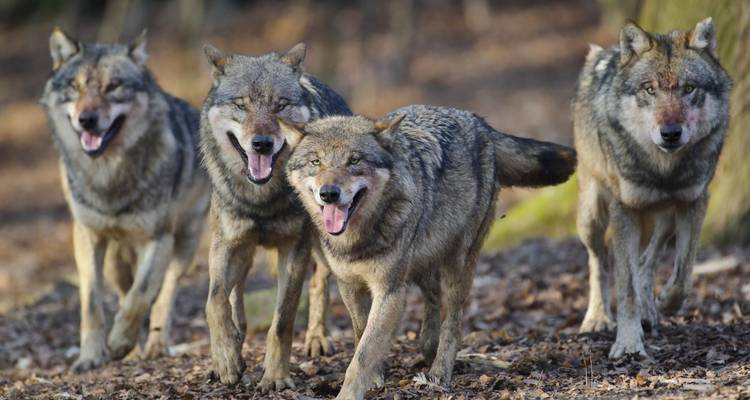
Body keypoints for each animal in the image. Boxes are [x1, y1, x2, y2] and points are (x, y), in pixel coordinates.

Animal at [39, 28, 210, 371]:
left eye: (113, 86)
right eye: (75, 86)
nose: (87, 119)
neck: (109, 177)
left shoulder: (158, 239)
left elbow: (141, 295)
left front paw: (119, 342)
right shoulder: (87, 237)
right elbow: (93, 304)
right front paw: (91, 357)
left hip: (184, 244)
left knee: (164, 294)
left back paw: (155, 345)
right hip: (116, 260)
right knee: (123, 290)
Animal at [200, 43, 351, 390]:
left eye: (280, 105)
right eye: (241, 105)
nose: (262, 144)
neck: (262, 200)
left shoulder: (294, 250)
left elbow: (282, 321)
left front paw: (276, 377)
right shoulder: (226, 244)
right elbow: (215, 301)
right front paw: (226, 360)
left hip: (323, 243)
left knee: (320, 282)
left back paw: (317, 338)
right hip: (244, 254)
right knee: (235, 299)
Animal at [284, 104, 576, 399]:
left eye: (354, 161)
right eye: (315, 162)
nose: (329, 193)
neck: (357, 240)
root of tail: (479, 123)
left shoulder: (390, 291)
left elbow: (363, 355)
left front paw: (350, 393)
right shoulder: (349, 285)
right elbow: (361, 335)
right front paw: (376, 377)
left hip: (458, 265)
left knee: (454, 321)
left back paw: (440, 371)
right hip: (423, 261)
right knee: (433, 296)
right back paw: (427, 345)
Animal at [574, 18, 731, 359]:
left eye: (688, 89)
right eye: (650, 89)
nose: (670, 133)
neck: (664, 170)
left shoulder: (695, 202)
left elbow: (683, 276)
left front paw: (665, 304)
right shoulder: (625, 210)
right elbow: (625, 285)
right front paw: (628, 342)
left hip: (666, 218)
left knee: (648, 261)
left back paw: (650, 311)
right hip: (592, 215)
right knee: (599, 262)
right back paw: (597, 318)